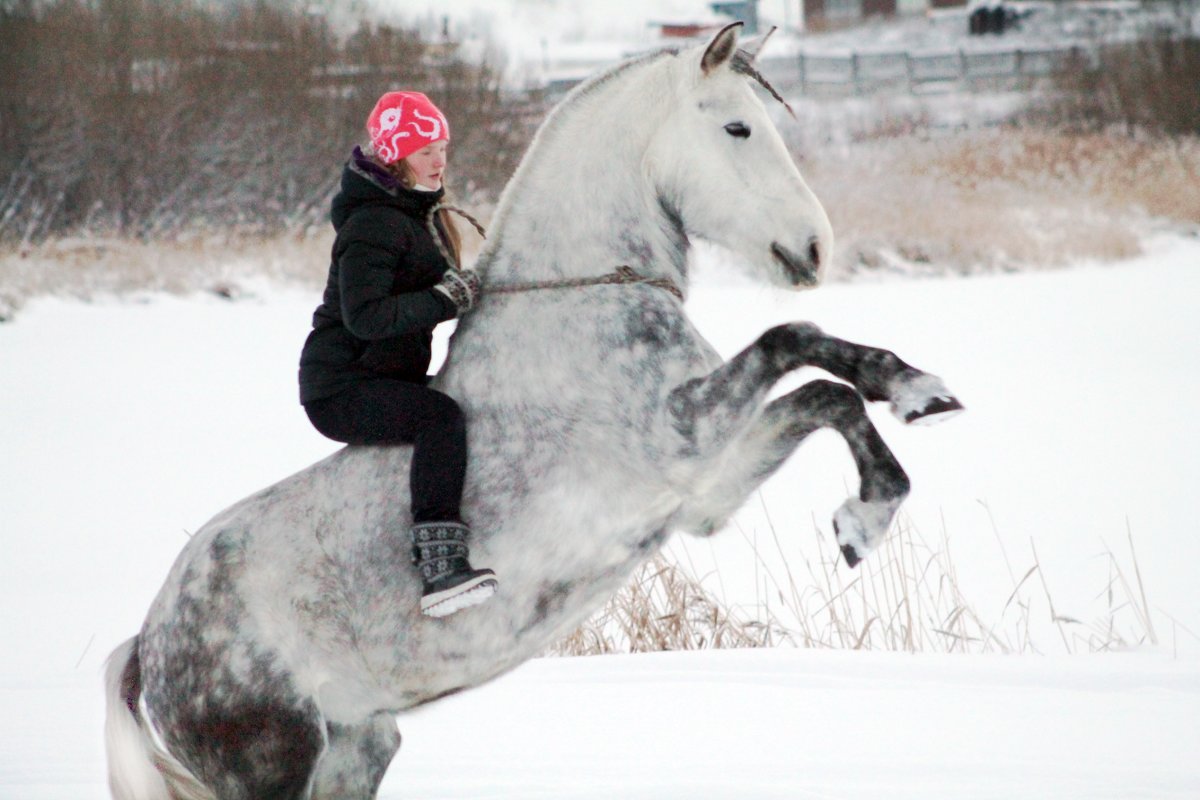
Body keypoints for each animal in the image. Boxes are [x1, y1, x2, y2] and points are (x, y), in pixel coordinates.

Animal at [105, 25, 964, 800]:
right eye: (736, 127)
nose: (815, 248)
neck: (578, 301)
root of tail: (150, 643)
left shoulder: (707, 489)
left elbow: (828, 386)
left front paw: (896, 447)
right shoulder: (685, 436)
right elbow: (796, 344)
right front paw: (880, 481)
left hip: (356, 750)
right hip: (273, 762)